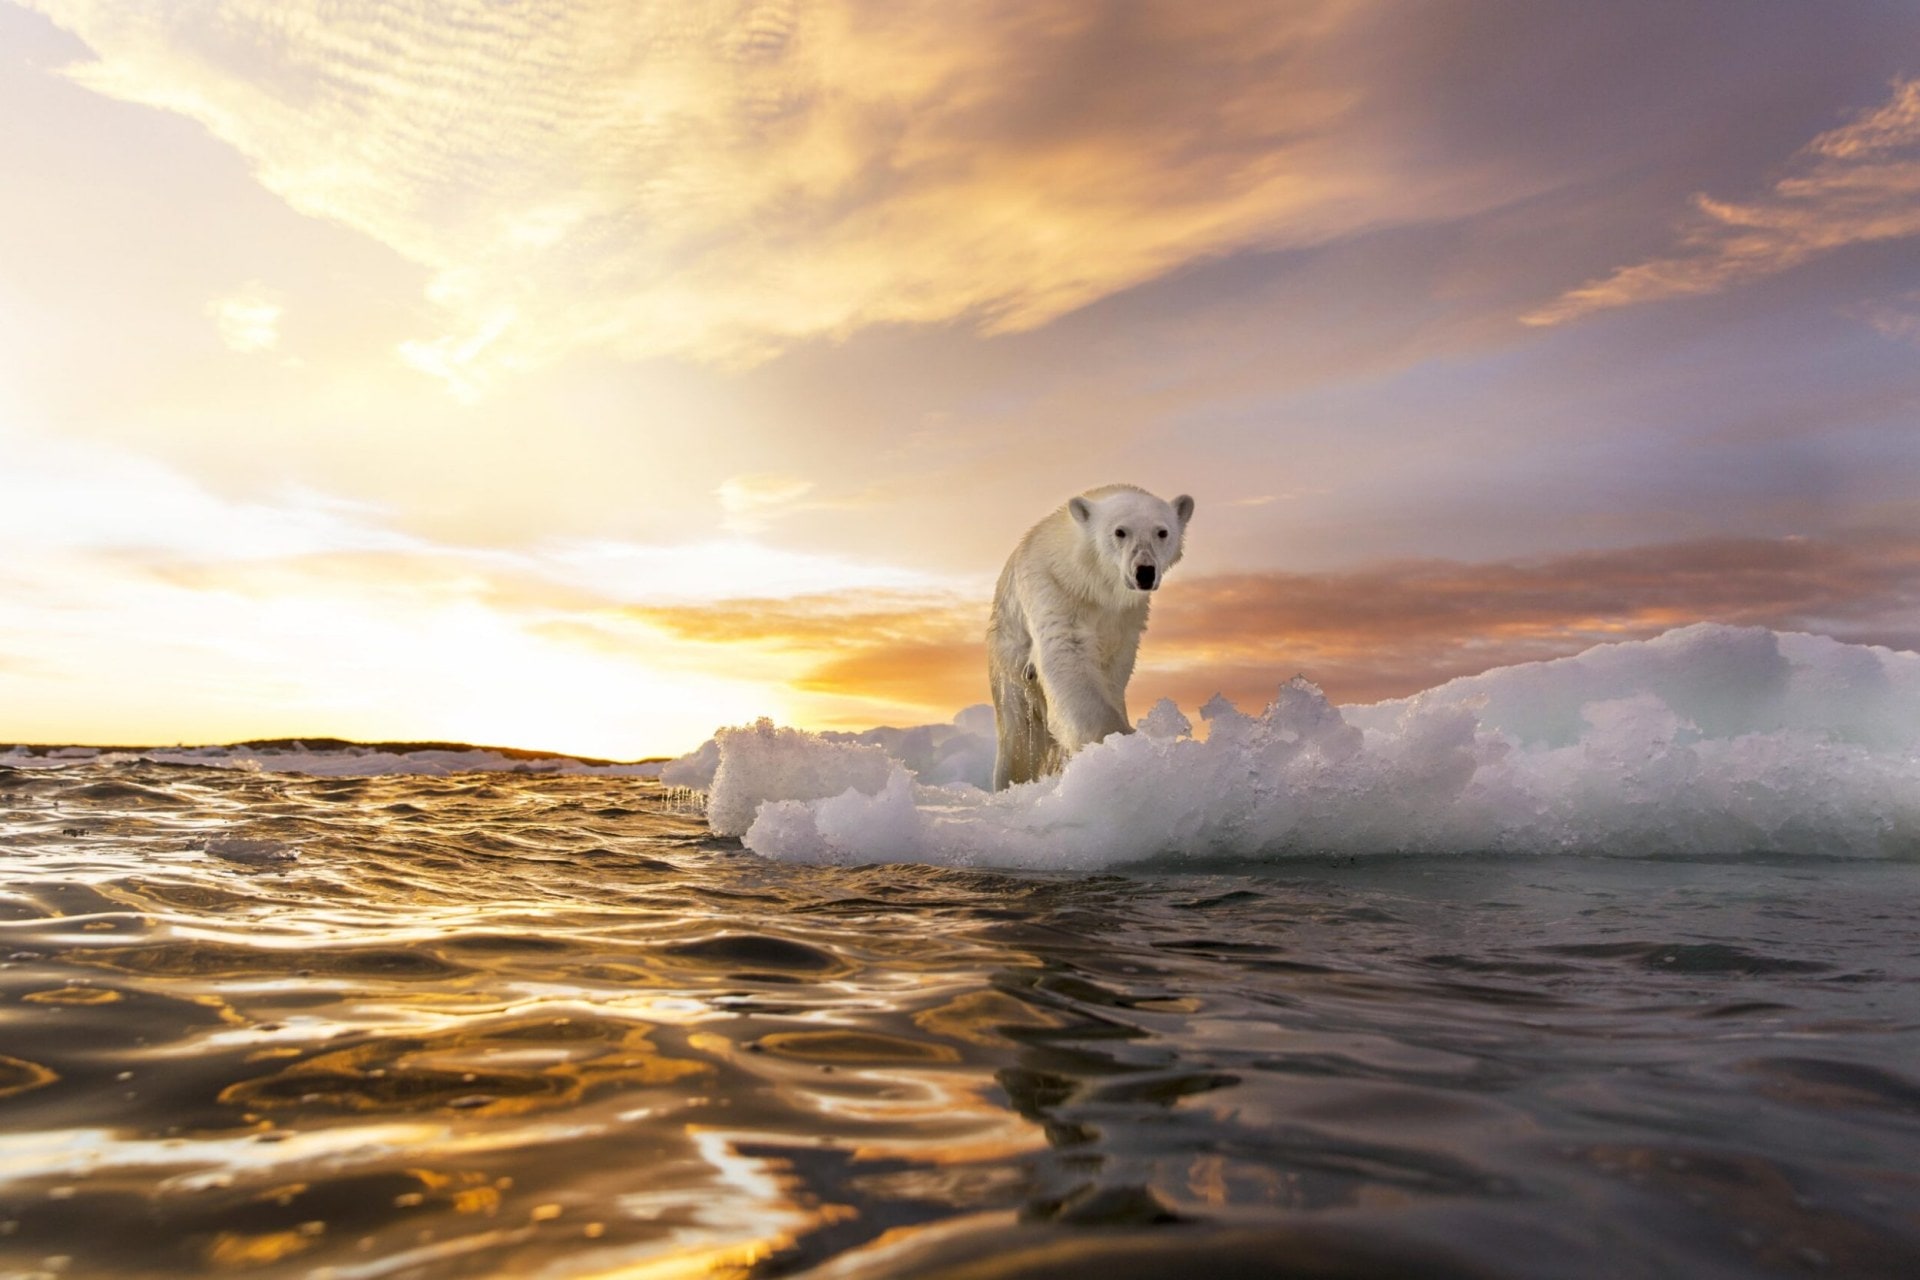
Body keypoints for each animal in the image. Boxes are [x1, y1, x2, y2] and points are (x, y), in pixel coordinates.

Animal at [990, 485, 1182, 790]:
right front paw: (1118, 743)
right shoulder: (1054, 589)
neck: (1091, 584)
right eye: (1120, 531)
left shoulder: (1126, 618)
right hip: (1009, 664)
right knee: (1018, 734)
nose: (1144, 572)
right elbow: (1067, 656)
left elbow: (1114, 668)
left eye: (1162, 532)